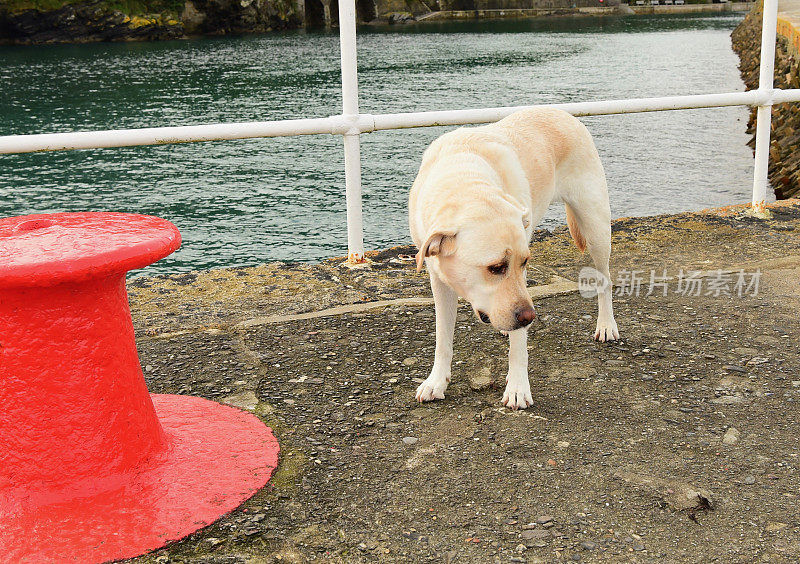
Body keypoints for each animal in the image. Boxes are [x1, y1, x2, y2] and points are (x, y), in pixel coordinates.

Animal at [410, 107, 620, 410]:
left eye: (524, 263)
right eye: (495, 267)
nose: (531, 317)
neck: (465, 181)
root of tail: (561, 110)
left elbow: (519, 346)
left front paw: (518, 388)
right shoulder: (438, 278)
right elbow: (442, 338)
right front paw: (436, 382)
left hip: (596, 227)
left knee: (605, 280)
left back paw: (606, 325)